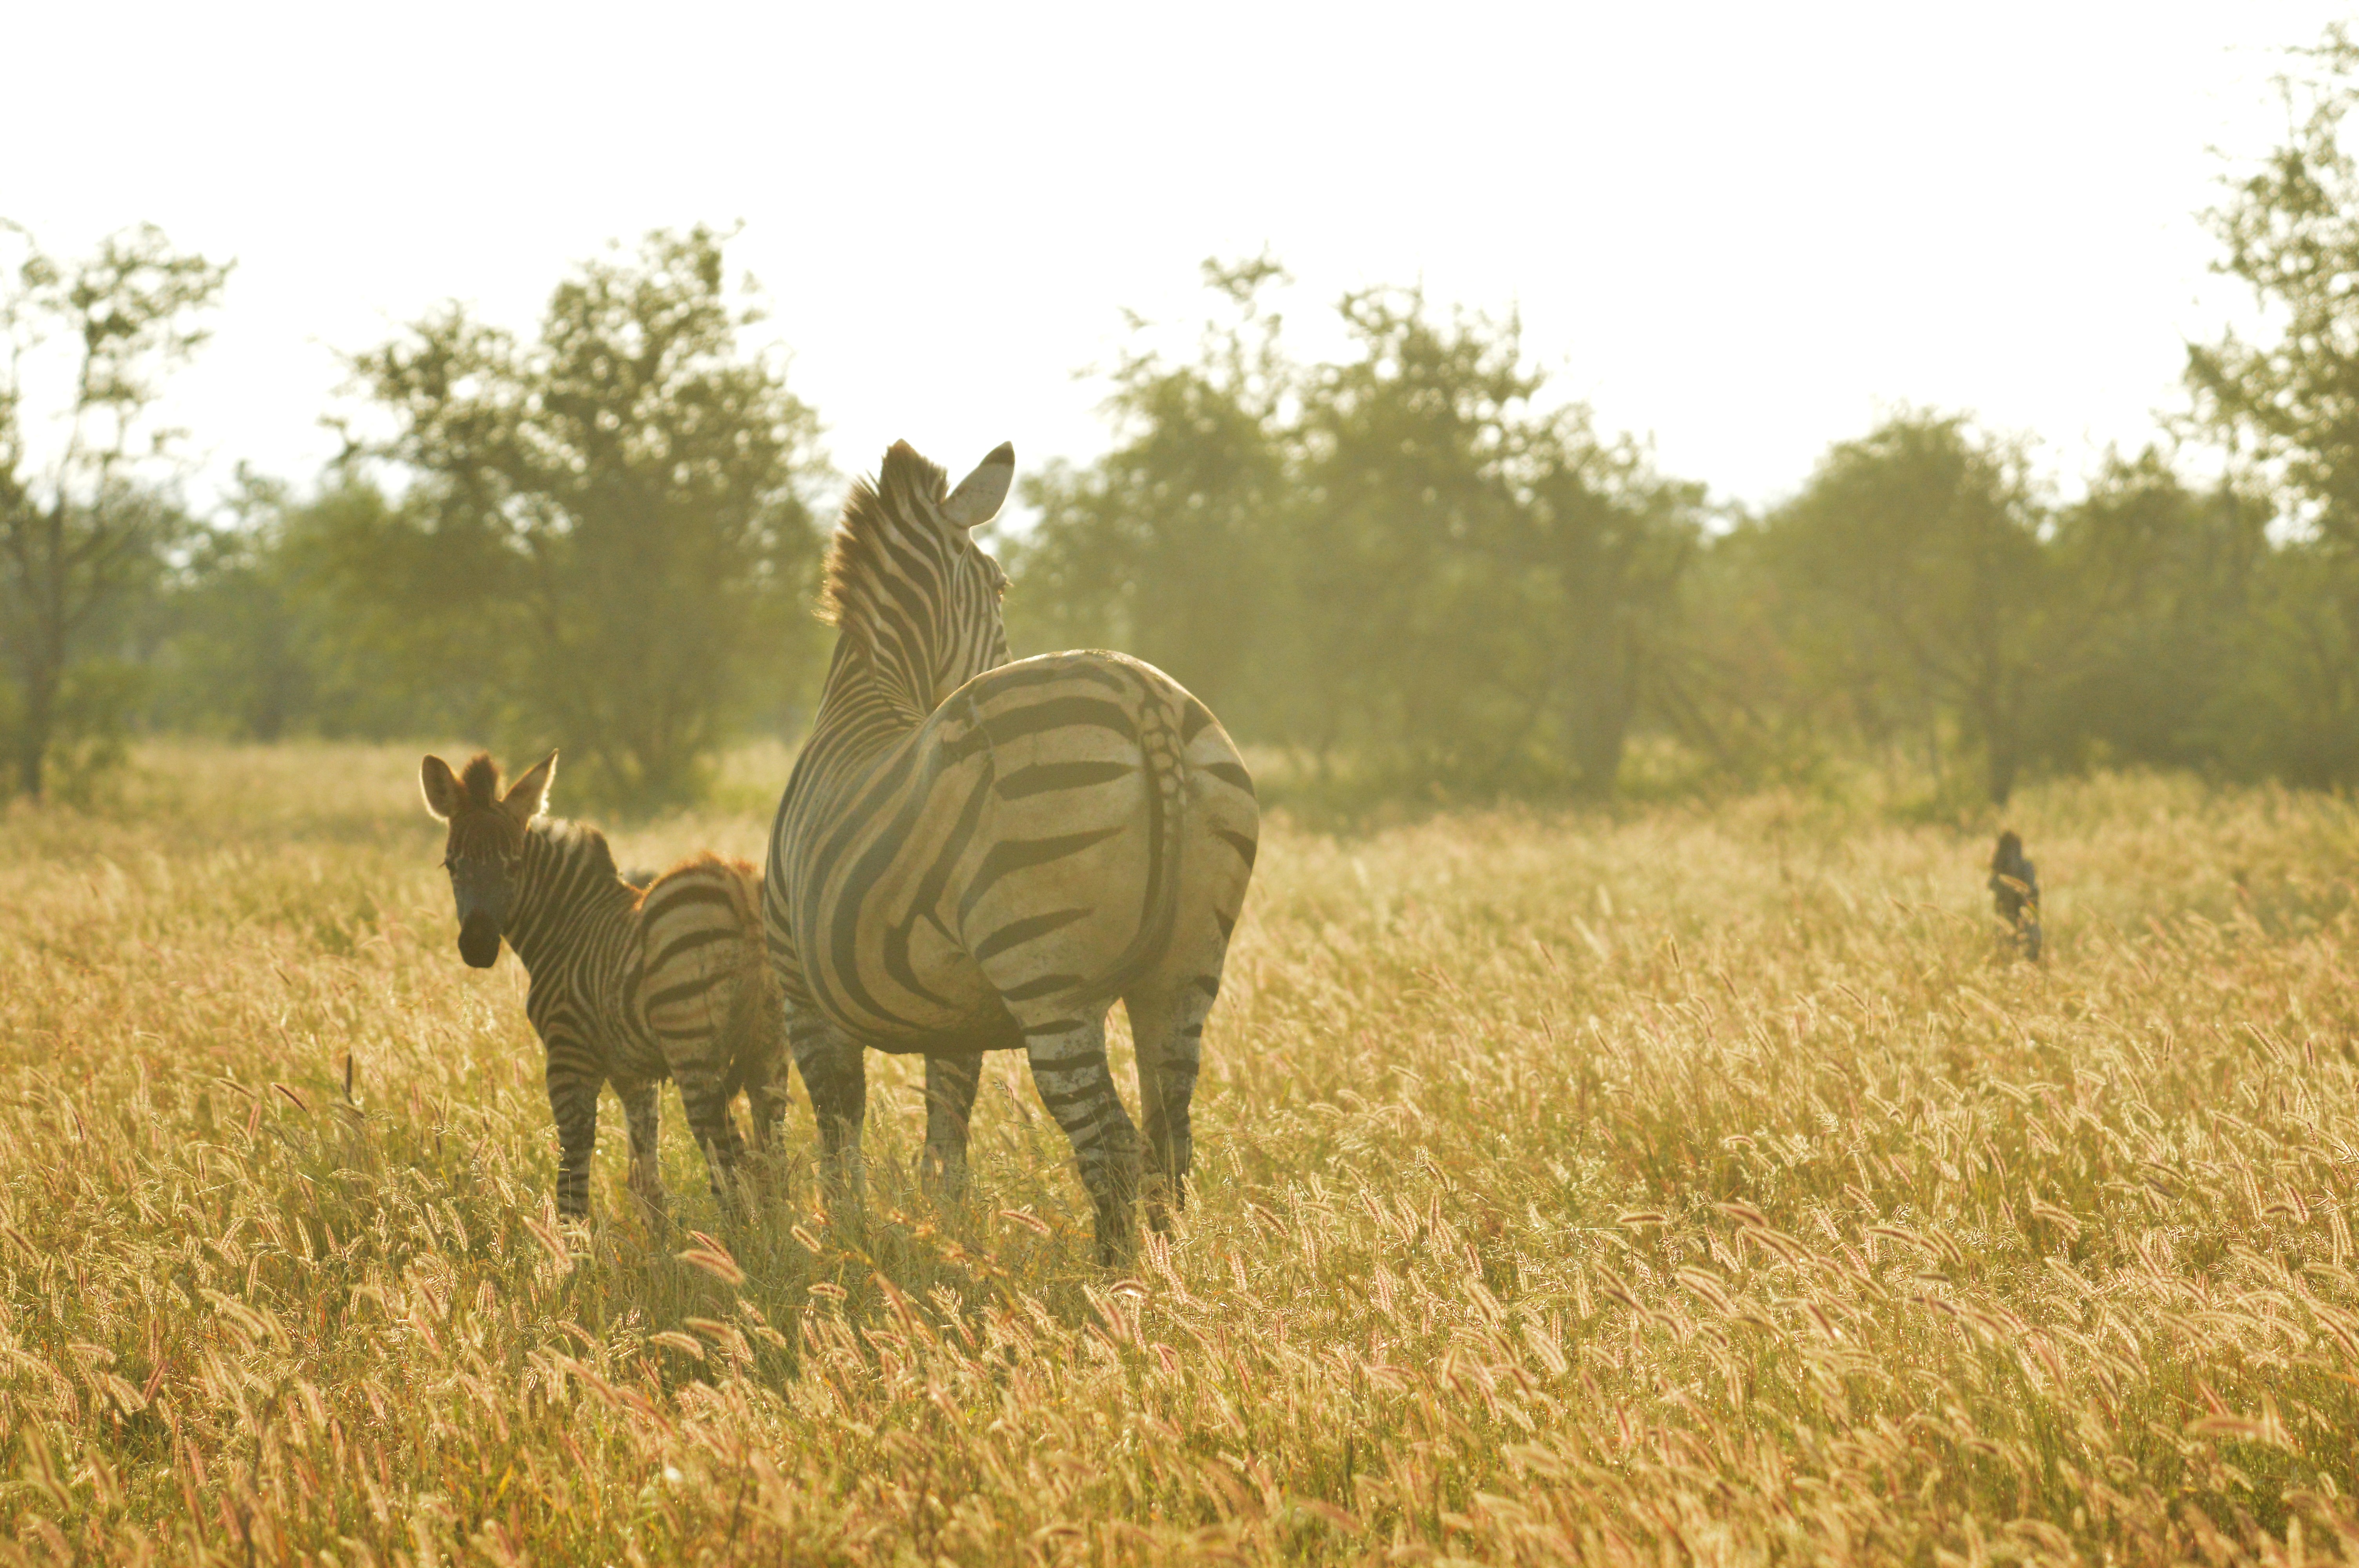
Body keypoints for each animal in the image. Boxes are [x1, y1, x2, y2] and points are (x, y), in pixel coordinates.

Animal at [420, 750, 788, 1220]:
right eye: (452, 865)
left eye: (514, 865)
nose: (478, 947)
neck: (569, 923)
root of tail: (736, 881)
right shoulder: (634, 1073)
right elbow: (645, 1179)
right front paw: (657, 1237)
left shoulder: (569, 1058)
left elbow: (572, 1176)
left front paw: (571, 1240)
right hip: (770, 1048)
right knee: (773, 1165)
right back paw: (776, 1235)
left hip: (693, 1047)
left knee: (731, 1164)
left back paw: (742, 1237)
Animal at [763, 440, 1259, 1264]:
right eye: (1002, 586)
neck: (873, 692)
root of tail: (1146, 698)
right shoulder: (951, 1015)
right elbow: (946, 1133)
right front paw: (939, 1228)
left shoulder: (803, 996)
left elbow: (840, 1127)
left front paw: (843, 1237)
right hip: (1184, 970)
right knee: (1169, 1141)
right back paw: (1170, 1273)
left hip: (1047, 973)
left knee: (1112, 1147)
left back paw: (1117, 1287)